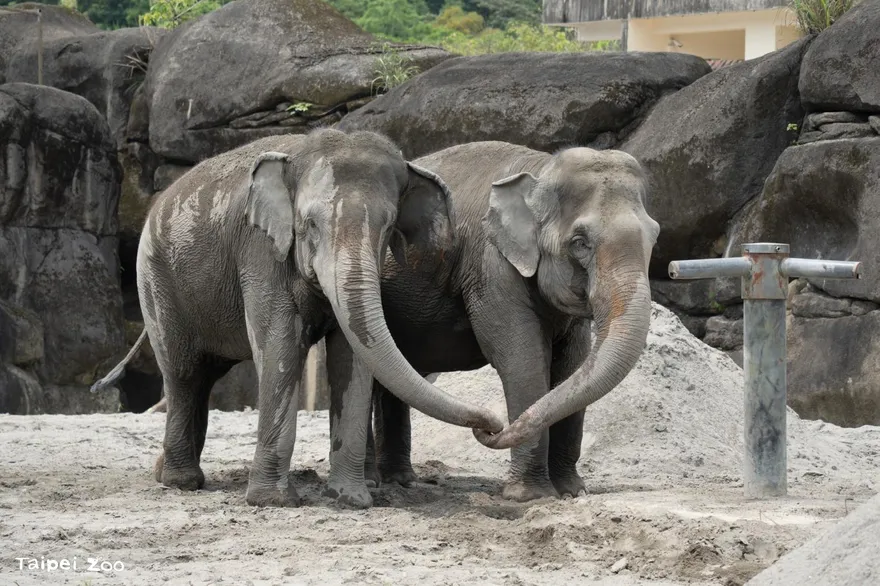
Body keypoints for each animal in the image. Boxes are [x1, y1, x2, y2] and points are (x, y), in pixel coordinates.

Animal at [92, 129, 505, 509]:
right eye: (309, 225)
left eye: (387, 228)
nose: (493, 426)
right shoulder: (260, 249)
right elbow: (281, 347)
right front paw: (273, 502)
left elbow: (352, 357)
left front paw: (352, 499)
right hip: (156, 280)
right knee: (184, 374)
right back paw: (182, 482)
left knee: (204, 378)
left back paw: (164, 471)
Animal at [326, 140, 660, 501]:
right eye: (579, 242)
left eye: (654, 235)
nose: (491, 427)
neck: (540, 169)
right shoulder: (492, 267)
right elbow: (522, 361)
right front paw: (530, 496)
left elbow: (573, 365)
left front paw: (572, 492)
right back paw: (374, 481)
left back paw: (401, 480)